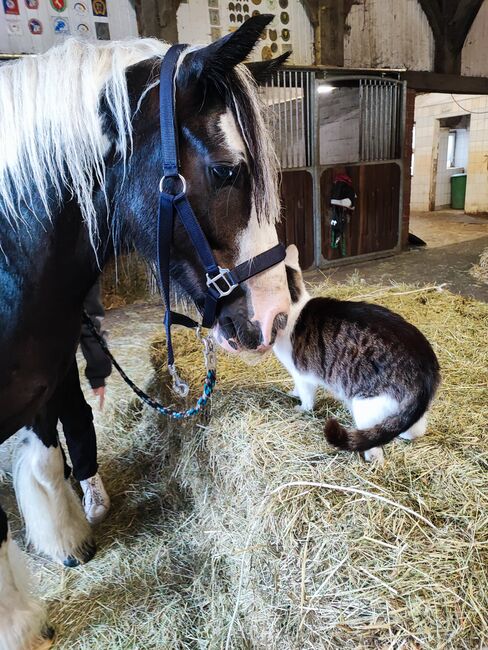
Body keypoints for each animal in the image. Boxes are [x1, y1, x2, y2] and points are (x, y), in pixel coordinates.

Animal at [0, 16, 290, 648]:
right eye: (227, 170)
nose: (277, 316)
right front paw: (19, 625)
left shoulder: (41, 378)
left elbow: (45, 458)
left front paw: (67, 542)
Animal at [272, 243, 440, 460]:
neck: (295, 306)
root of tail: (425, 367)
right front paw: (294, 393)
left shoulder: (303, 376)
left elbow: (307, 399)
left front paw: (301, 407)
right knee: (413, 428)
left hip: (365, 405)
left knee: (375, 445)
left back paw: (371, 456)